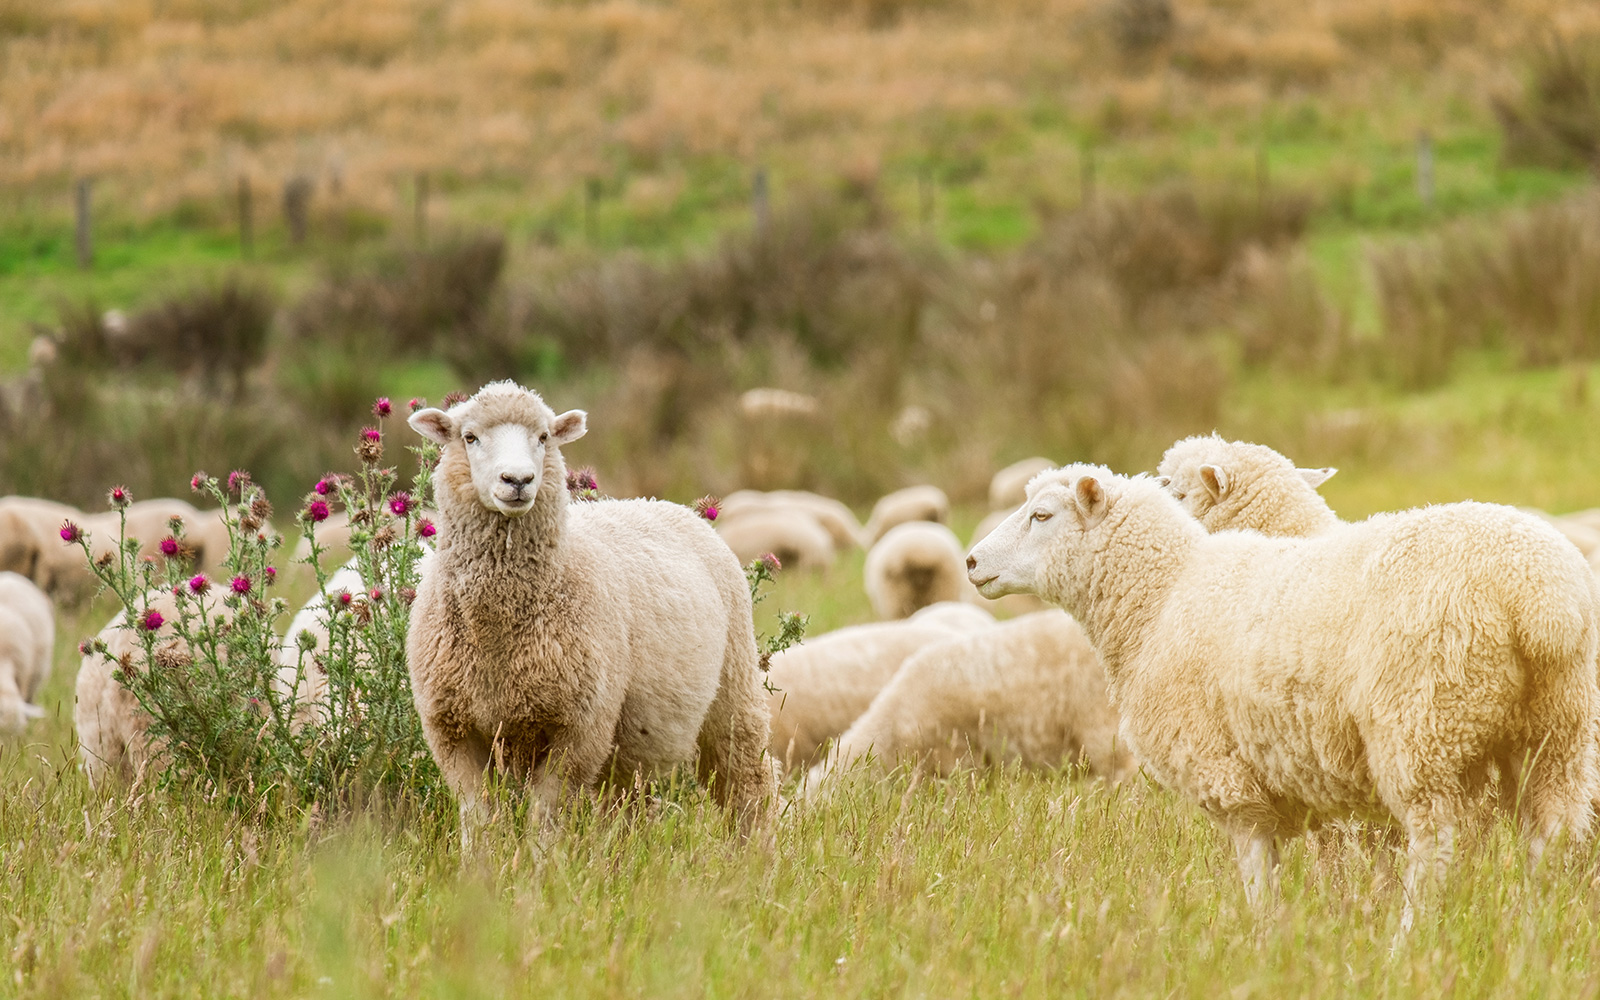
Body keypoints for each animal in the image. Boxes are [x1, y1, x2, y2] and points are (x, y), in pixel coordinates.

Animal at [409, 380, 777, 844]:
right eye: (469, 437)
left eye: (543, 437)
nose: (518, 480)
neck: (498, 634)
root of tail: (662, 503)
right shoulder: (451, 729)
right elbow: (478, 818)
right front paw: (480, 864)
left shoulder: (580, 729)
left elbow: (544, 816)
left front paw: (540, 861)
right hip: (632, 746)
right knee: (628, 806)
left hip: (733, 690)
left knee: (748, 782)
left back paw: (757, 850)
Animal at [966, 460, 1600, 921]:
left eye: (1042, 515)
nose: (971, 562)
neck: (1162, 596)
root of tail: (1540, 596)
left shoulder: (1228, 777)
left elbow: (1256, 877)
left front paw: (1261, 944)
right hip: (1558, 732)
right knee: (1551, 842)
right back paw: (1533, 935)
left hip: (1424, 725)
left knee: (1436, 847)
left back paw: (1408, 944)